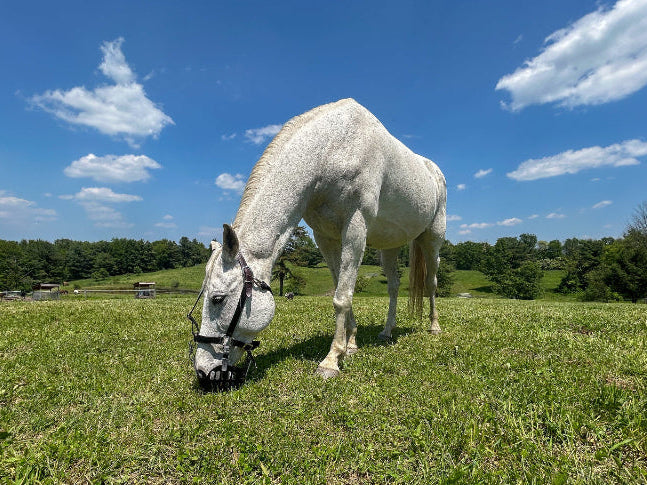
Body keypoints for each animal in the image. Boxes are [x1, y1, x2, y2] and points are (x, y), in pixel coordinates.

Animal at [192, 98, 446, 387]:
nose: (203, 372)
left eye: (218, 299)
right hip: (389, 246)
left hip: (432, 239)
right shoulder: (325, 237)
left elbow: (342, 297)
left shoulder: (355, 227)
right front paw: (350, 344)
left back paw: (434, 327)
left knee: (431, 283)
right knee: (393, 286)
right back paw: (386, 331)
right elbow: (341, 288)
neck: (333, 149)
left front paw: (331, 361)